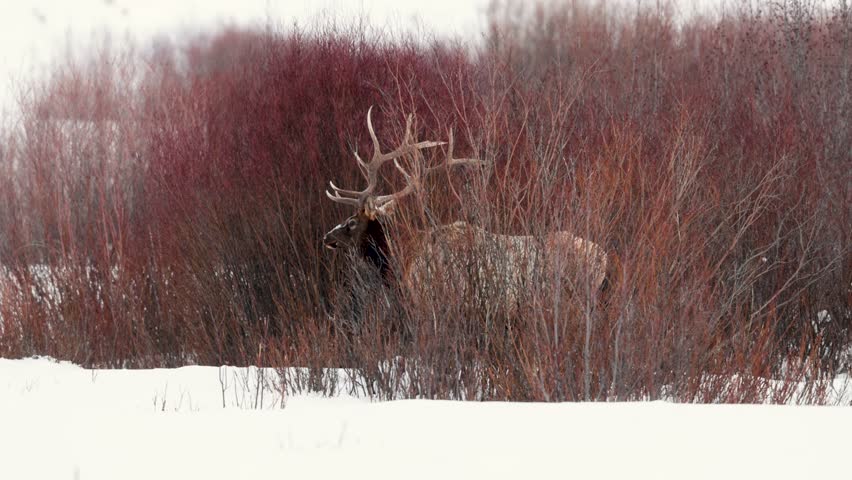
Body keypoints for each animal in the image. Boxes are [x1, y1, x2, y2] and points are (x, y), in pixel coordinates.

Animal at [323, 107, 615, 322]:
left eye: (351, 222)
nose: (327, 237)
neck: (404, 258)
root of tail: (604, 258)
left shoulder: (435, 301)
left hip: (574, 300)